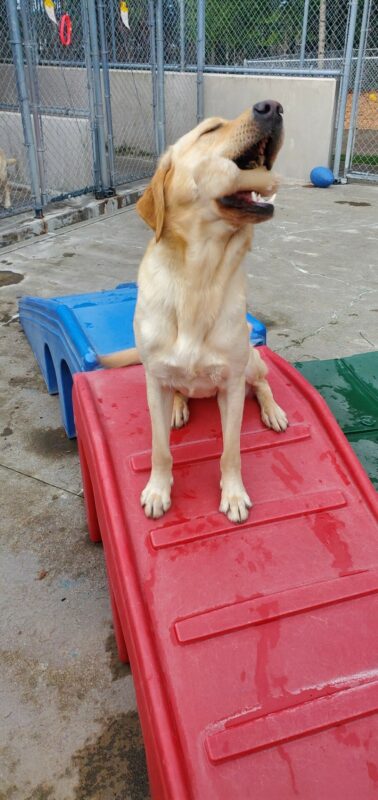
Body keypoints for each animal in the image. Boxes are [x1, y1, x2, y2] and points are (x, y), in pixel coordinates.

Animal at [99, 101, 288, 524]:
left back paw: (273, 411)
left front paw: (233, 494)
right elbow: (160, 449)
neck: (199, 280)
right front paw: (158, 490)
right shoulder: (154, 382)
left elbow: (231, 451)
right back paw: (180, 406)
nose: (272, 107)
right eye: (210, 130)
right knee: (180, 391)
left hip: (251, 362)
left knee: (263, 383)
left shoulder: (232, 385)